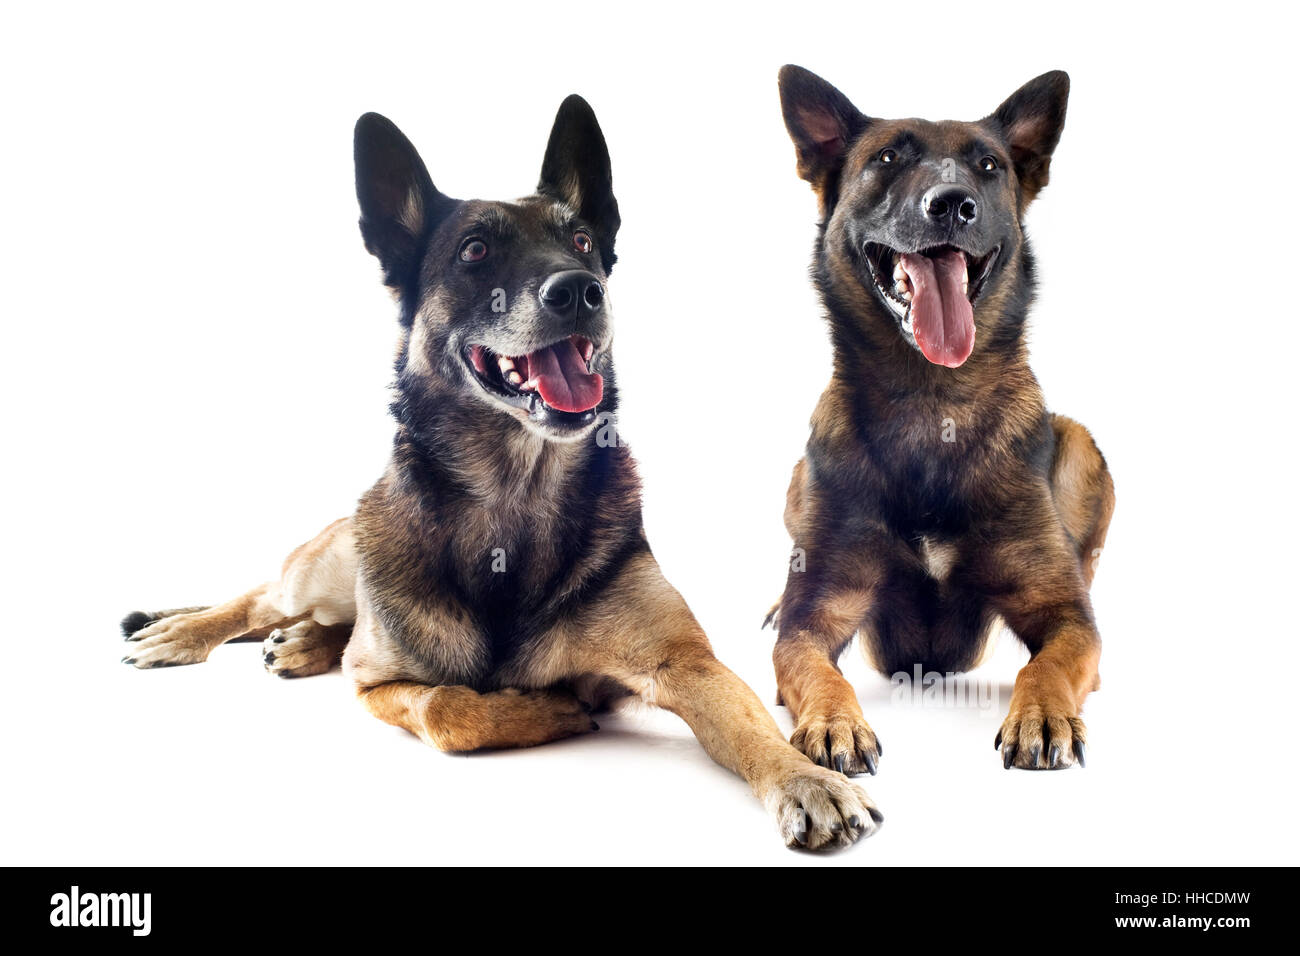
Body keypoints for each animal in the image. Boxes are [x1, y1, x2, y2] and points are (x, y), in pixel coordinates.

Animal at [122, 95, 883, 853]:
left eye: (582, 242)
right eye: (475, 251)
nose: (580, 290)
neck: (513, 494)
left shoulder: (691, 667)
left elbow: (755, 730)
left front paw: (806, 780)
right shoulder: (376, 687)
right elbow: (446, 708)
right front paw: (547, 711)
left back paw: (302, 645)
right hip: (319, 572)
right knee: (259, 602)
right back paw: (184, 634)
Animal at [764, 67, 1112, 775]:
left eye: (988, 166)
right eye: (887, 159)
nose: (953, 204)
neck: (933, 402)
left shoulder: (1064, 614)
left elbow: (1051, 661)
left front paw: (1041, 713)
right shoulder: (813, 615)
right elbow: (815, 666)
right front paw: (836, 722)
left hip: (1082, 444)